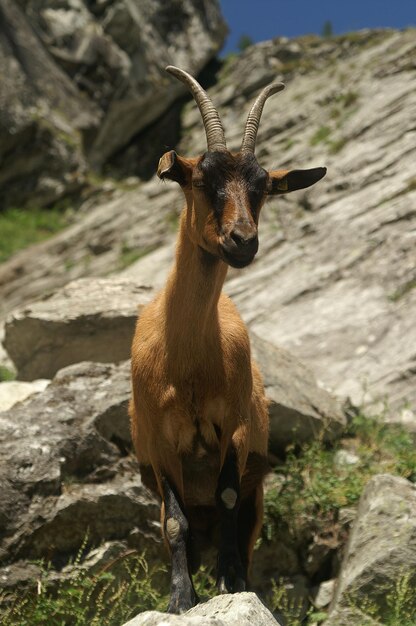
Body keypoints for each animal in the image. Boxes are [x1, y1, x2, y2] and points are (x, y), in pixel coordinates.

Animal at [129, 66, 324, 612]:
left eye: (263, 188)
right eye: (201, 179)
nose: (243, 241)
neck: (189, 363)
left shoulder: (233, 430)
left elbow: (229, 499)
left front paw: (231, 582)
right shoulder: (160, 445)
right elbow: (176, 525)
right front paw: (180, 598)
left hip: (258, 496)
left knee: (238, 522)